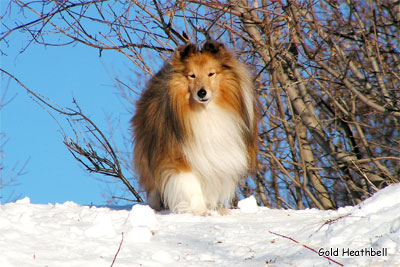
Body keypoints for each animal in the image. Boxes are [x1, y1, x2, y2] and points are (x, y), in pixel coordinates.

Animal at [130, 40, 258, 216]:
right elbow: (191, 185)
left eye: (211, 74)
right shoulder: (178, 156)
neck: (206, 112)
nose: (202, 93)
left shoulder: (219, 156)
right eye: (192, 75)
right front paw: (199, 211)